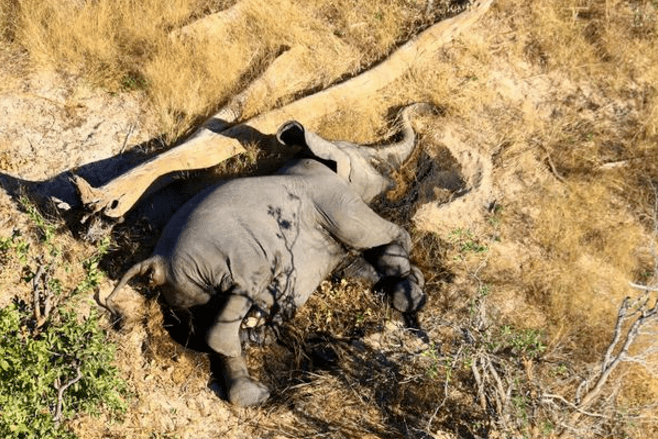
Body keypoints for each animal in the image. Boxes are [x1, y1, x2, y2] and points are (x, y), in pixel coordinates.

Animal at [104, 103, 428, 410]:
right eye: (375, 162)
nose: (421, 107)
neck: (318, 156)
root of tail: (156, 261)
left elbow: (353, 266)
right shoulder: (335, 200)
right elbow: (383, 234)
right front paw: (411, 293)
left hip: (188, 289)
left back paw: (254, 356)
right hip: (225, 259)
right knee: (233, 307)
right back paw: (257, 385)